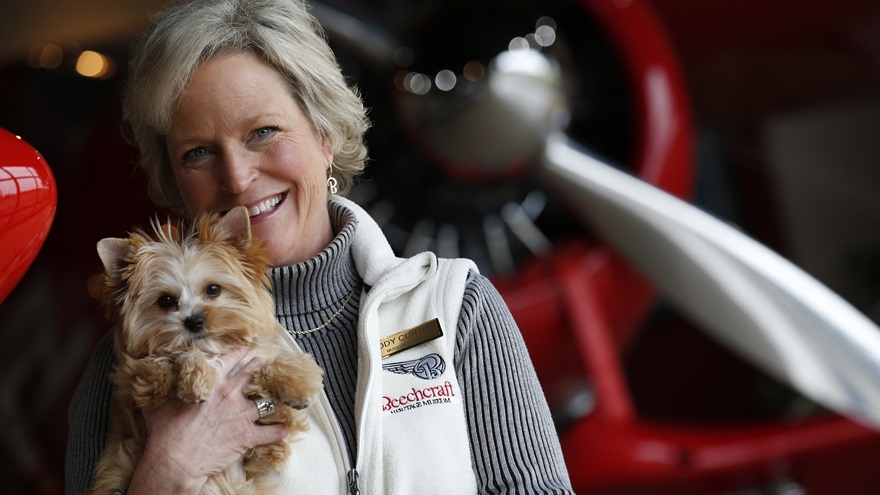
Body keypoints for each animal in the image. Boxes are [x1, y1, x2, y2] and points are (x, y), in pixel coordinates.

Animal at [87, 206, 324, 495]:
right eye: (165, 300)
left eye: (213, 289)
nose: (195, 321)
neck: (214, 350)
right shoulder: (131, 379)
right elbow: (169, 360)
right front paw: (195, 378)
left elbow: (270, 367)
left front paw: (296, 381)